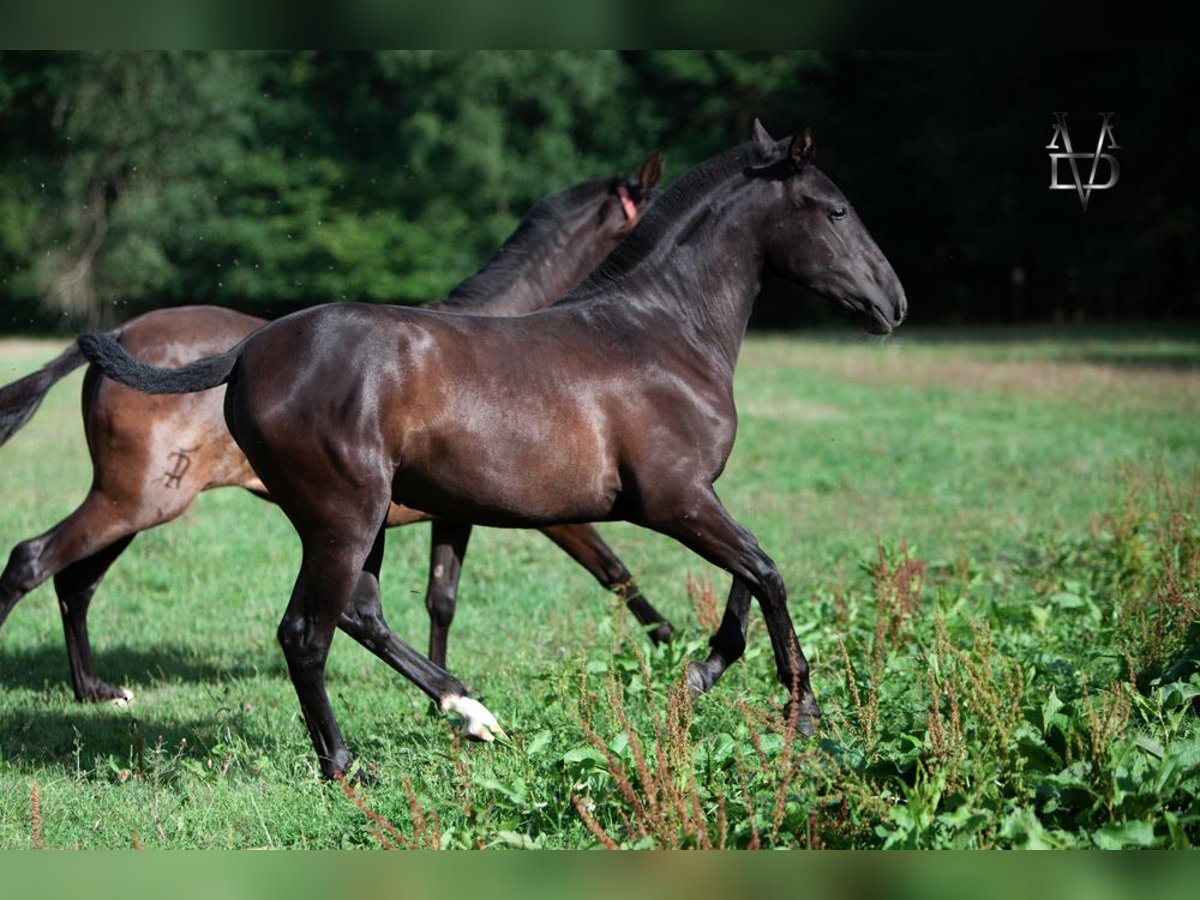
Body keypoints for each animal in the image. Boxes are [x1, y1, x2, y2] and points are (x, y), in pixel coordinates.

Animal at [0, 158, 667, 710]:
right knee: (33, 560)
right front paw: (669, 644)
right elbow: (615, 571)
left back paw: (94, 690)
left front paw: (446, 697)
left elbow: (442, 599)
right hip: (138, 498)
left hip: (139, 502)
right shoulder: (550, 511)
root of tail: (120, 331)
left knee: (75, 578)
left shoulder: (456, 514)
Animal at [82, 123, 907, 777]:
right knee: (305, 632)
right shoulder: (672, 499)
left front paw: (703, 671)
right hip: (340, 516)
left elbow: (746, 574)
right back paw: (346, 764)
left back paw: (470, 712)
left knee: (361, 616)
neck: (660, 333)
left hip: (359, 521)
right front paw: (801, 714)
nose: (893, 303)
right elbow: (763, 571)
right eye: (836, 210)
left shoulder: (692, 496)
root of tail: (249, 350)